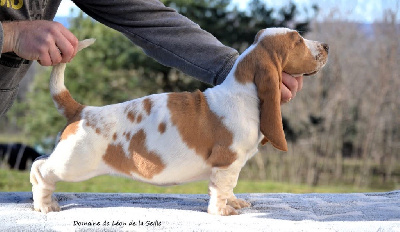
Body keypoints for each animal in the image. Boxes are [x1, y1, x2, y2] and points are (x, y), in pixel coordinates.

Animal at [30, 27, 328, 216]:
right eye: (297, 40)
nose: (326, 46)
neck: (244, 92)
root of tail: (81, 110)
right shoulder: (226, 162)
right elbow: (221, 188)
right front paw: (222, 211)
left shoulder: (233, 166)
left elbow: (230, 187)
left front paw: (235, 203)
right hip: (74, 163)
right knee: (41, 169)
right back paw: (45, 205)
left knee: (40, 163)